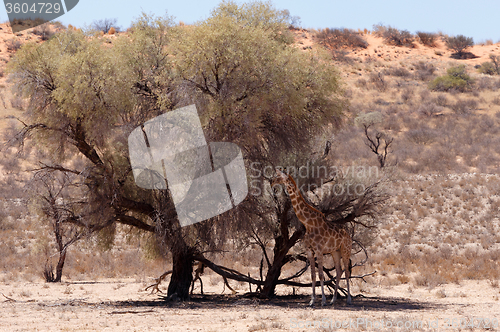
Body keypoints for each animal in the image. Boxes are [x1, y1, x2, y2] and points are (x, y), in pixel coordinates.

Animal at [274, 169, 352, 306]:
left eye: (277, 177)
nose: (272, 182)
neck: (308, 224)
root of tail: (349, 234)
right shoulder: (309, 251)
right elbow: (313, 276)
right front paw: (312, 300)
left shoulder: (319, 250)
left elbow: (321, 275)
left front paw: (323, 300)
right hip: (335, 251)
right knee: (339, 271)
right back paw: (333, 299)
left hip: (345, 250)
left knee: (346, 271)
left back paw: (348, 299)